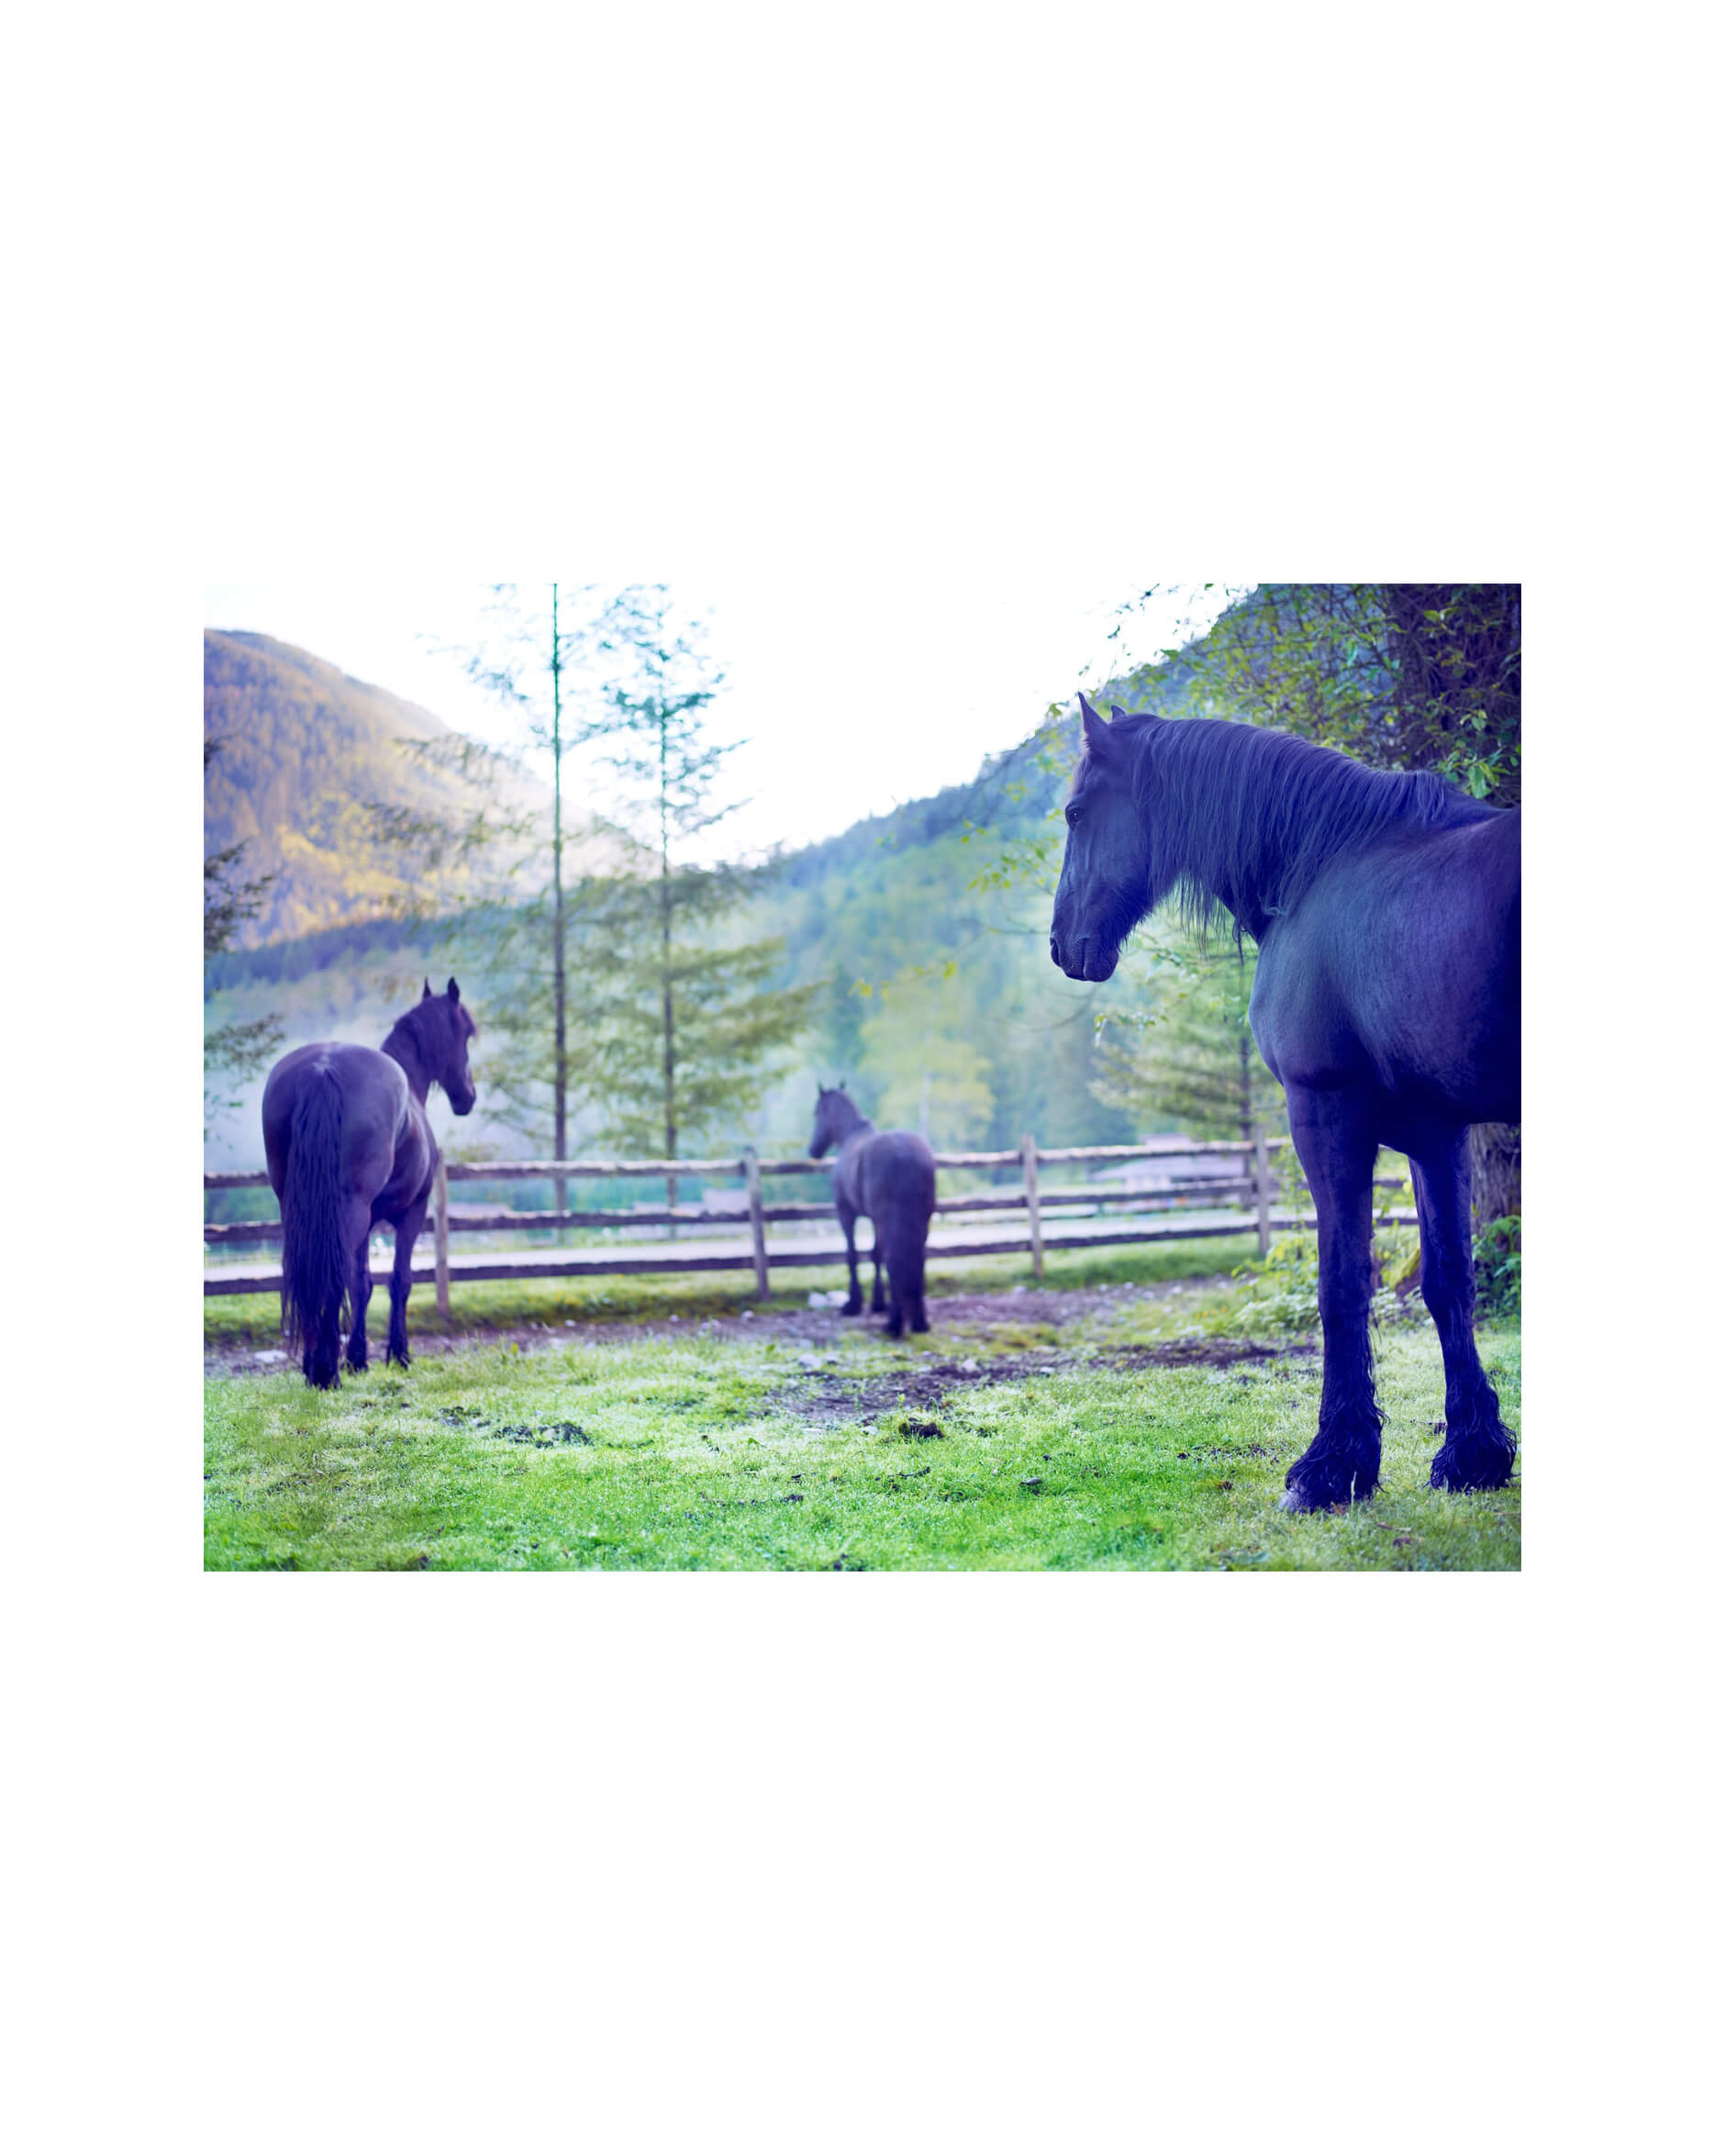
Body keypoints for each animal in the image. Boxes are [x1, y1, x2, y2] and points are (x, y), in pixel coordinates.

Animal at [261, 978, 478, 1388]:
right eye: (467, 1034)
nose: (468, 1097)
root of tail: (323, 1069)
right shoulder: (411, 1214)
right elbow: (399, 1281)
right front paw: (398, 1355)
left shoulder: (368, 1224)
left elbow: (361, 1283)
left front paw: (358, 1359)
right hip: (352, 1210)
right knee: (330, 1275)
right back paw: (325, 1371)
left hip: (300, 1209)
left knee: (310, 1272)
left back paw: (314, 1365)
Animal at [808, 1085, 937, 1337]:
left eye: (817, 1112)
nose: (813, 1149)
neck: (851, 1136)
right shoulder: (875, 1220)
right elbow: (875, 1254)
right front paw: (878, 1303)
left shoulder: (846, 1213)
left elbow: (853, 1255)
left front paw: (853, 1304)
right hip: (921, 1219)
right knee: (917, 1258)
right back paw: (919, 1322)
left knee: (894, 1258)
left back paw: (894, 1324)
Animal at [1049, 696, 1519, 1510]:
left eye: (1078, 812)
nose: (1059, 943)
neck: (1322, 868)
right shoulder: (1437, 1135)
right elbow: (1448, 1282)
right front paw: (1472, 1453)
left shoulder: (1324, 1113)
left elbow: (1342, 1285)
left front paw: (1331, 1466)